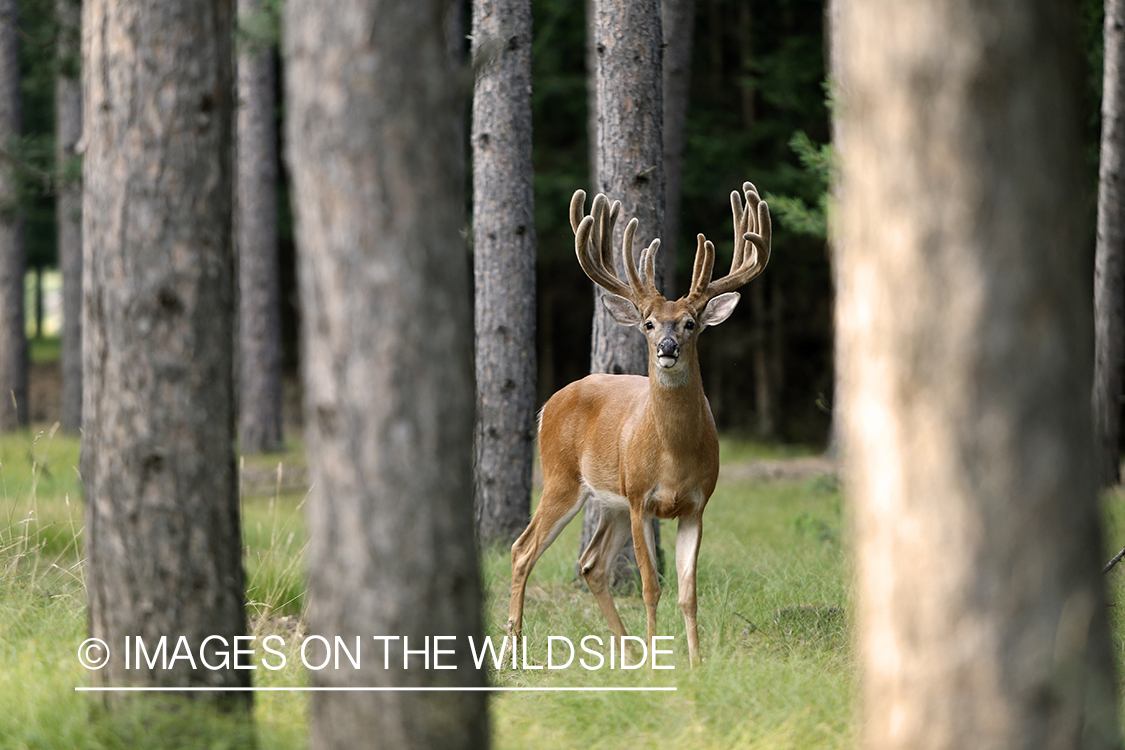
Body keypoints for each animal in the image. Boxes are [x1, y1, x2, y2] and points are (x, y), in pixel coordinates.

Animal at [510, 183, 774, 670]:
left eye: (690, 323)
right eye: (649, 324)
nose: (667, 348)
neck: (674, 456)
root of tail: (548, 404)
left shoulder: (695, 505)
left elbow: (688, 592)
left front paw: (694, 662)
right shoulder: (640, 500)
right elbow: (652, 587)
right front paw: (657, 661)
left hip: (607, 500)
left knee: (592, 563)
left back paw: (627, 649)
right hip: (563, 478)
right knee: (523, 550)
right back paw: (514, 644)